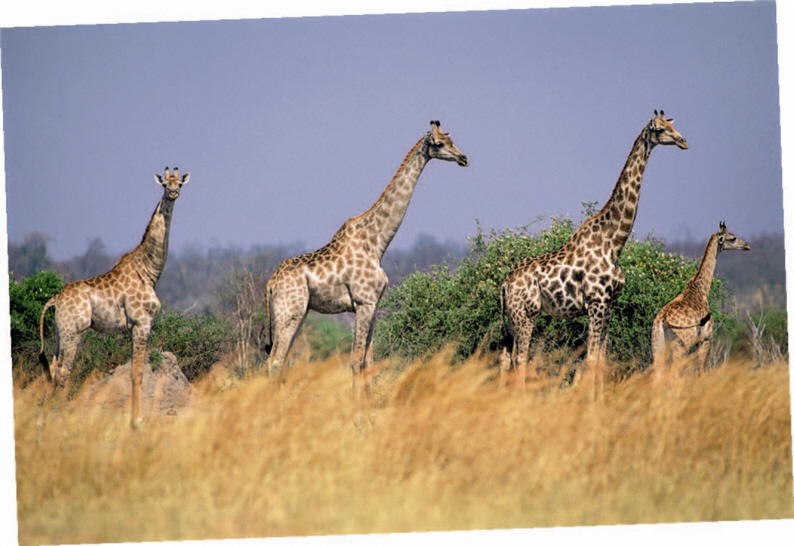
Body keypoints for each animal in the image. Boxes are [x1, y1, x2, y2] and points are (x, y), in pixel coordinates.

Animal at [39, 167, 190, 427]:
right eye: (164, 184)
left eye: (179, 183)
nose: (172, 193)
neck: (149, 271)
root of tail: (54, 300)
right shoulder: (142, 323)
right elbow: (137, 372)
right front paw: (137, 421)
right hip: (74, 332)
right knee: (64, 371)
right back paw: (61, 420)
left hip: (60, 332)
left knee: (54, 368)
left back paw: (46, 419)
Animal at [264, 121, 468, 395]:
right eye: (438, 143)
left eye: (452, 140)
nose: (463, 158)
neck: (376, 243)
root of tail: (270, 284)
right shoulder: (364, 302)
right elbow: (357, 360)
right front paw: (357, 405)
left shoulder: (373, 305)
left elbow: (369, 361)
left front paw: (370, 402)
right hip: (290, 311)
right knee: (275, 361)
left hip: (297, 312)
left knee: (282, 360)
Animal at [499, 110, 688, 388]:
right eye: (660, 129)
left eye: (672, 125)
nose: (683, 141)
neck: (614, 241)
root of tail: (505, 285)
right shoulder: (596, 302)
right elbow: (590, 359)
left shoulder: (609, 304)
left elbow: (601, 359)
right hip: (526, 313)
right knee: (519, 358)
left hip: (510, 318)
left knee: (504, 357)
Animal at [651, 222, 750, 370]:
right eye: (733, 238)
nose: (747, 246)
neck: (701, 290)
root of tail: (663, 320)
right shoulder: (706, 338)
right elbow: (702, 368)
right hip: (681, 344)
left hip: (657, 343)